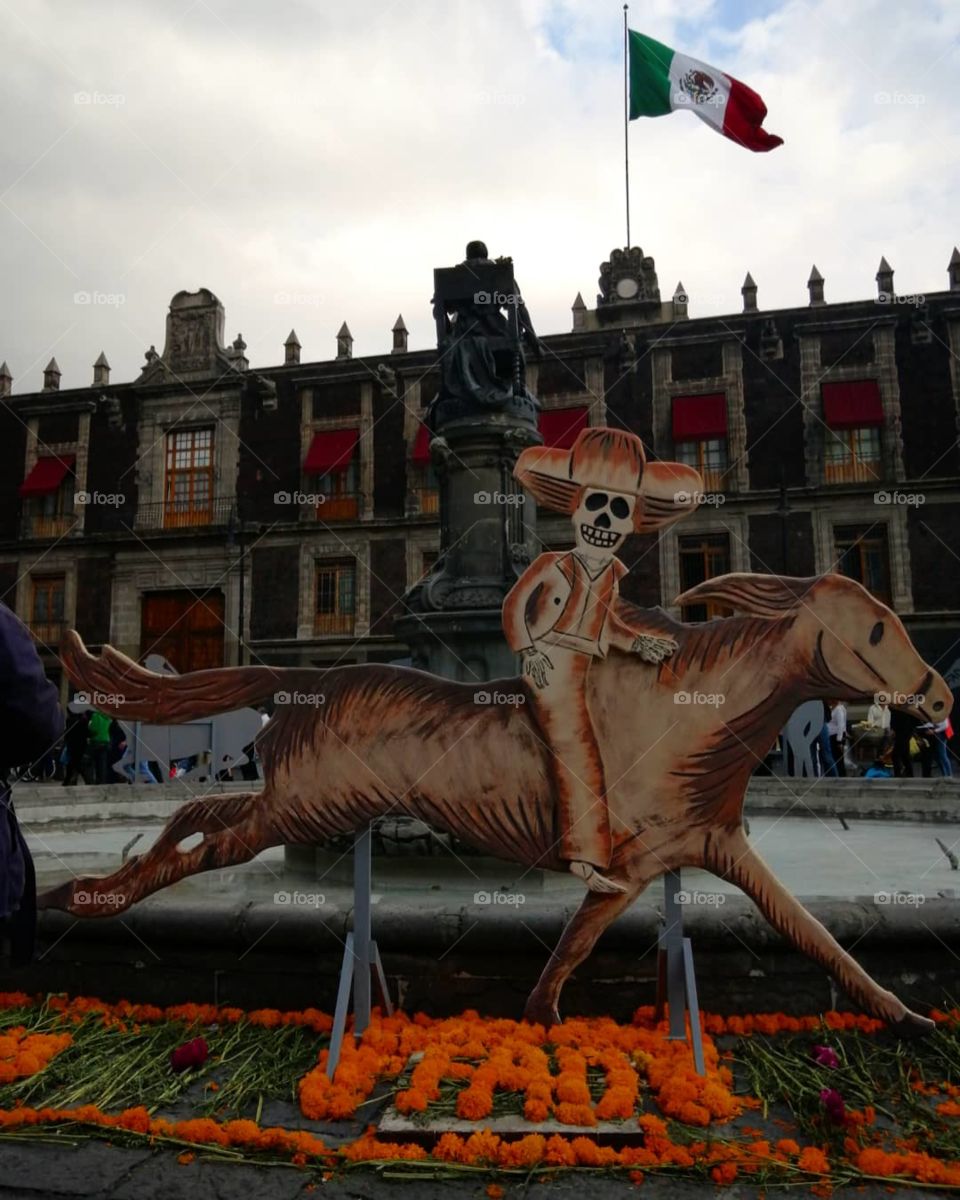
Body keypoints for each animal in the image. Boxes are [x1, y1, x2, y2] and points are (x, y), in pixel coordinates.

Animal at [46, 571, 950, 1032]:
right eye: (875, 630)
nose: (939, 695)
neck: (694, 715)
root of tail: (303, 682)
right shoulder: (631, 866)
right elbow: (577, 946)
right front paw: (543, 1017)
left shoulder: (708, 846)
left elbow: (815, 935)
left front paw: (906, 1014)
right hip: (306, 806)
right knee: (207, 832)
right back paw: (84, 894)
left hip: (294, 802)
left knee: (198, 820)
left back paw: (87, 885)